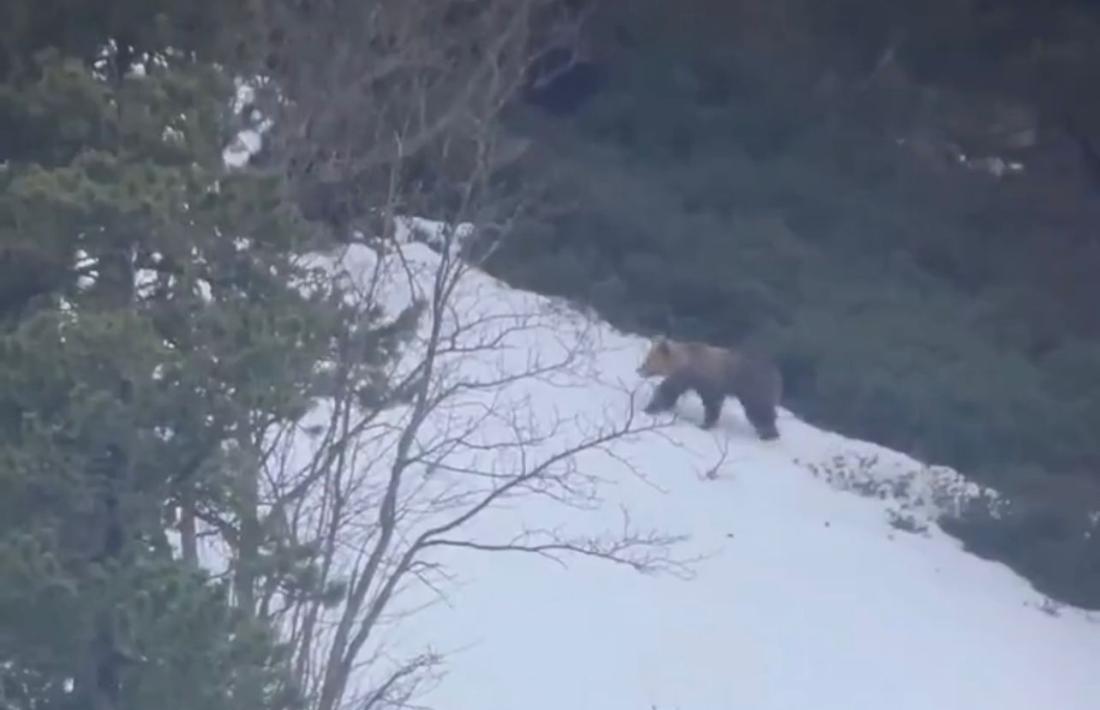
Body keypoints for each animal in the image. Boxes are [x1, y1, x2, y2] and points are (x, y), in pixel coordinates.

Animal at [638, 336, 783, 438]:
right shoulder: (690, 380)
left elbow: (670, 391)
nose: (639, 370)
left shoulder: (701, 378)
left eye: (648, 360)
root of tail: (775, 373)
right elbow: (671, 392)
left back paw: (768, 433)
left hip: (754, 387)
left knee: (759, 408)